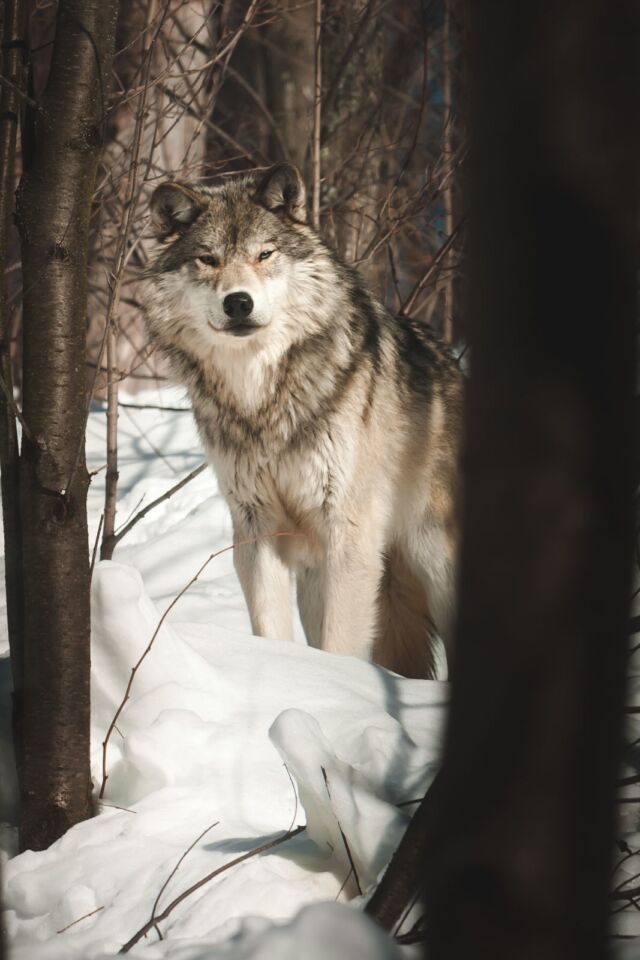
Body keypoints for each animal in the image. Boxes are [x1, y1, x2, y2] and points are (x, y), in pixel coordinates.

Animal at [141, 163, 460, 676]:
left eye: (264, 254)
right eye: (208, 259)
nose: (238, 302)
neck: (262, 399)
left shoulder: (347, 530)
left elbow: (339, 644)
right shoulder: (256, 526)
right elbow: (270, 628)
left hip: (436, 559)